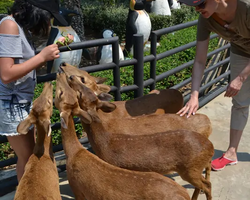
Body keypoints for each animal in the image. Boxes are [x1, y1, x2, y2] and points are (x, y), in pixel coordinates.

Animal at [67, 75, 214, 200]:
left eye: (81, 89)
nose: (71, 77)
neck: (105, 142)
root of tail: (211, 146)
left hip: (190, 169)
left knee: (207, 184)